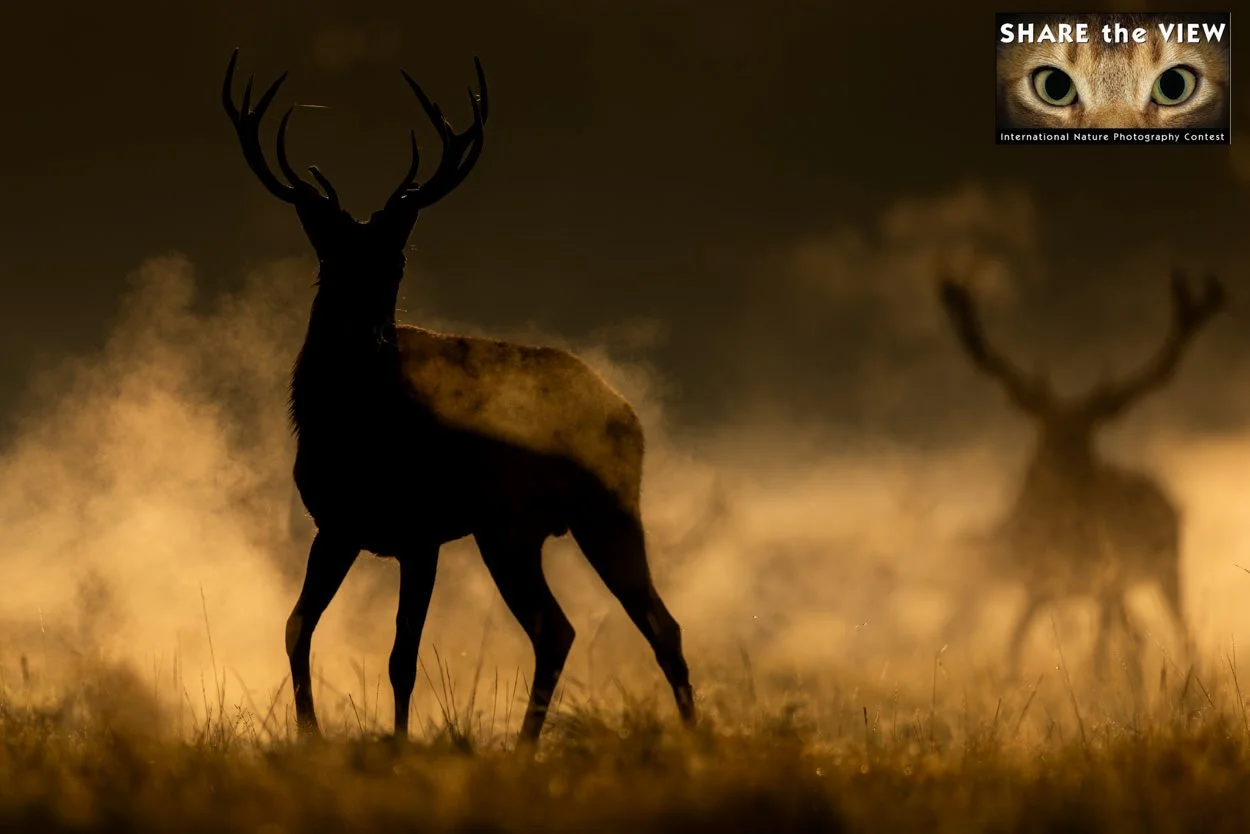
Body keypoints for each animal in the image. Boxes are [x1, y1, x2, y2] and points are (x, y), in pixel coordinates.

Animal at [221, 50, 696, 745]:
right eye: (331, 262)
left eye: (395, 265)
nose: (370, 335)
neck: (355, 431)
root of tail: (629, 412)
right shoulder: (334, 524)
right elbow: (296, 627)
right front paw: (309, 735)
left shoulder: (421, 532)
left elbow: (402, 656)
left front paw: (397, 745)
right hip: (516, 529)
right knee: (576, 628)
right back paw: (538, 746)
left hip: (590, 511)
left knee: (640, 626)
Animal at [936, 269, 1225, 682]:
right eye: (1046, 437)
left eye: (1090, 438)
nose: (1069, 478)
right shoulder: (1038, 584)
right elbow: (1015, 641)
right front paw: (1012, 680)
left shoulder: (1107, 578)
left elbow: (1104, 650)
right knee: (1135, 634)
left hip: (1165, 568)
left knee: (1172, 632)